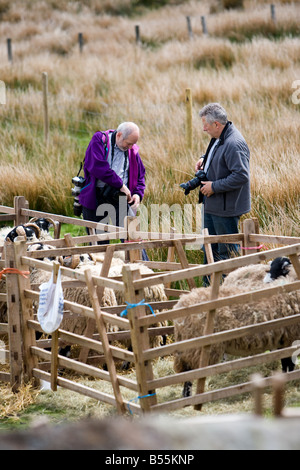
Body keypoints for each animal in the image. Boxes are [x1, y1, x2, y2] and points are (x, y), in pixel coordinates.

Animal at [173, 258, 300, 396]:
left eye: (279, 269)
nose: (266, 282)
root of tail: (180, 306)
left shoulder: (283, 339)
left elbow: (285, 362)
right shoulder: (289, 338)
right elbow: (288, 363)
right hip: (196, 348)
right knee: (190, 375)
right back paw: (190, 395)